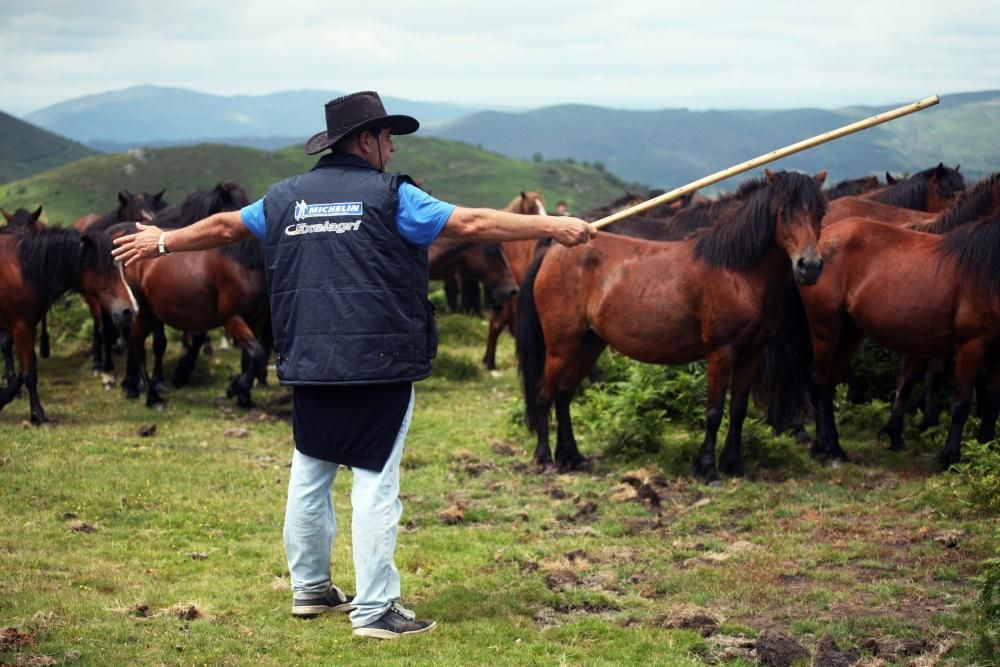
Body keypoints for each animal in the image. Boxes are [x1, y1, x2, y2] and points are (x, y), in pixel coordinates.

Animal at [0, 231, 138, 422]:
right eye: (105, 269)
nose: (129, 311)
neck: (24, 270)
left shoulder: (26, 326)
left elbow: (26, 367)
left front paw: (5, 398)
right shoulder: (21, 326)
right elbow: (29, 373)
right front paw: (39, 415)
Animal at [520, 170, 824, 478]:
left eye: (820, 212)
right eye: (784, 212)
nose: (809, 266)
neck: (737, 271)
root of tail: (553, 251)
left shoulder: (752, 354)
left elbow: (738, 411)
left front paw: (734, 465)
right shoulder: (721, 352)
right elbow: (714, 412)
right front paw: (707, 469)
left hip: (588, 343)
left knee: (564, 393)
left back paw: (572, 456)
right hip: (561, 344)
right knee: (544, 394)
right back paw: (546, 459)